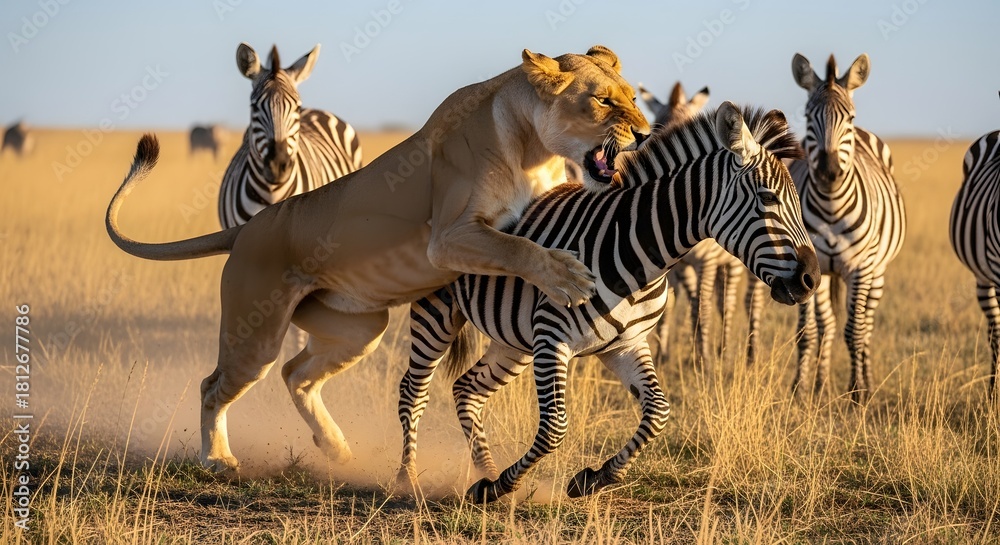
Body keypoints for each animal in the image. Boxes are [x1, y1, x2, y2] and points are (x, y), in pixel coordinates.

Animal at [396, 102, 819, 502]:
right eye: (767, 199)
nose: (811, 280)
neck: (642, 257)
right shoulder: (552, 337)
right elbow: (555, 428)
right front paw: (504, 486)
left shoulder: (626, 344)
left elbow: (659, 412)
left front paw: (591, 479)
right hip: (437, 312)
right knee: (413, 391)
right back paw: (408, 479)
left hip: (514, 340)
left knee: (466, 389)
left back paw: (485, 470)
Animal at [776, 53, 906, 404]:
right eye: (809, 117)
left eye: (849, 117)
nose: (829, 171)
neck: (832, 207)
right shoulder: (808, 268)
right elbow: (808, 332)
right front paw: (800, 389)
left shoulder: (860, 268)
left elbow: (855, 331)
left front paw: (857, 392)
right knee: (828, 326)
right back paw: (821, 384)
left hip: (877, 272)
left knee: (866, 326)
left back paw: (868, 382)